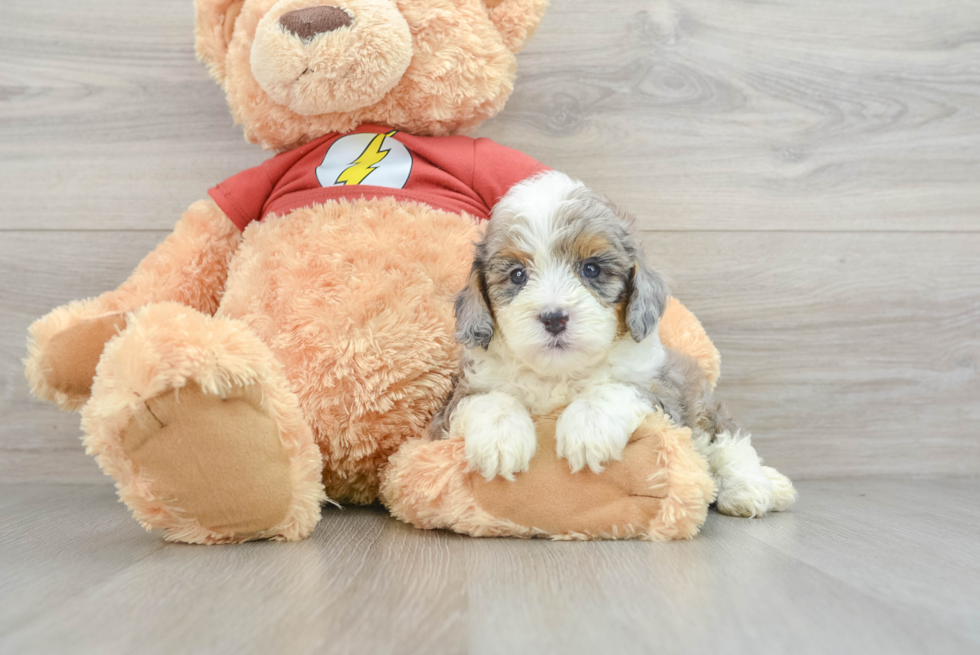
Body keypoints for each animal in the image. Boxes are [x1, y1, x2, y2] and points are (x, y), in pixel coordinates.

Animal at [432, 172, 800, 520]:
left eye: (591, 269)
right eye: (518, 275)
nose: (554, 317)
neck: (560, 374)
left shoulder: (662, 395)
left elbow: (615, 388)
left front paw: (587, 428)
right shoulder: (454, 403)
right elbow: (489, 399)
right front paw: (498, 438)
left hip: (703, 409)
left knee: (729, 442)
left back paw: (756, 487)